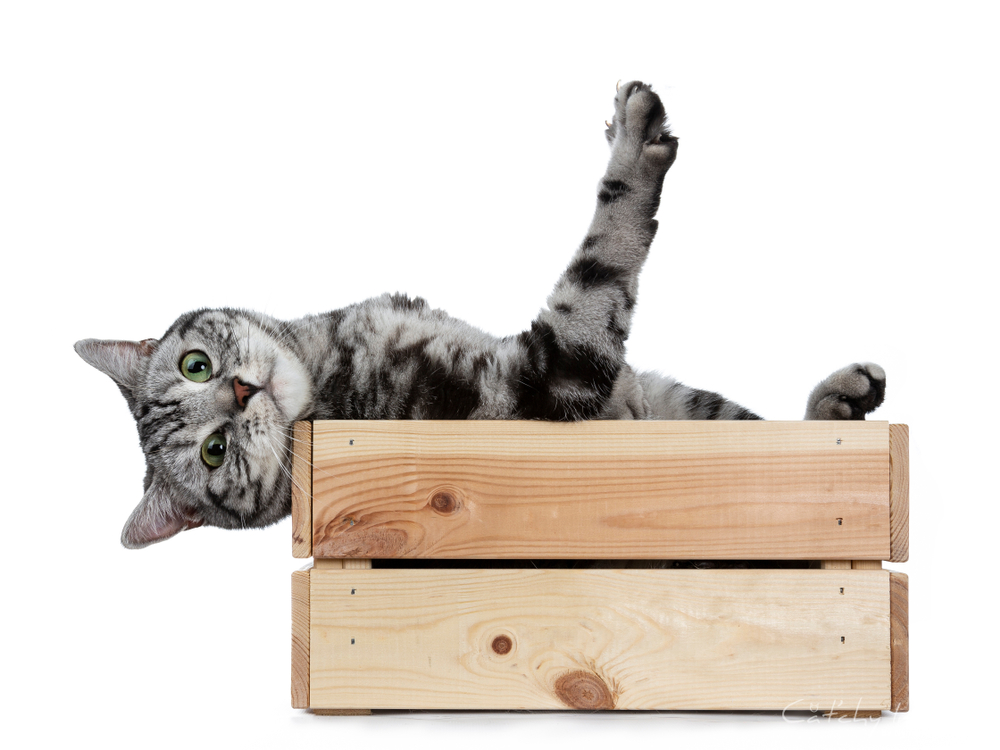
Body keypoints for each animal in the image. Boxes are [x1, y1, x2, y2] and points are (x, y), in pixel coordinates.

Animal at [72, 83, 884, 552]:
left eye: (196, 364)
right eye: (213, 453)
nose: (240, 393)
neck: (332, 358)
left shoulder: (653, 395)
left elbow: (748, 432)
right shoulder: (547, 377)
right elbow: (605, 251)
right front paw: (632, 148)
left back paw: (842, 399)